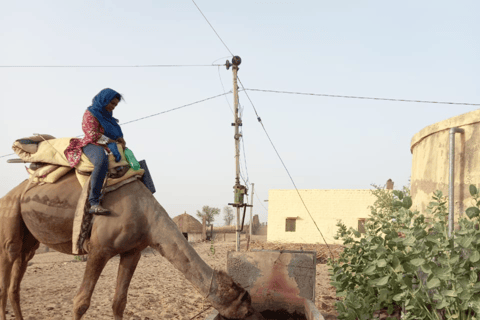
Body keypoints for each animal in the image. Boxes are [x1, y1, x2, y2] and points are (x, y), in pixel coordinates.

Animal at [0, 171, 262, 320]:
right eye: (245, 305)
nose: (255, 313)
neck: (146, 215)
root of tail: (10, 194)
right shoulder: (99, 249)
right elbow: (80, 302)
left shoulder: (132, 252)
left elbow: (119, 303)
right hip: (10, 214)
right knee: (8, 261)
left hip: (30, 238)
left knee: (18, 274)